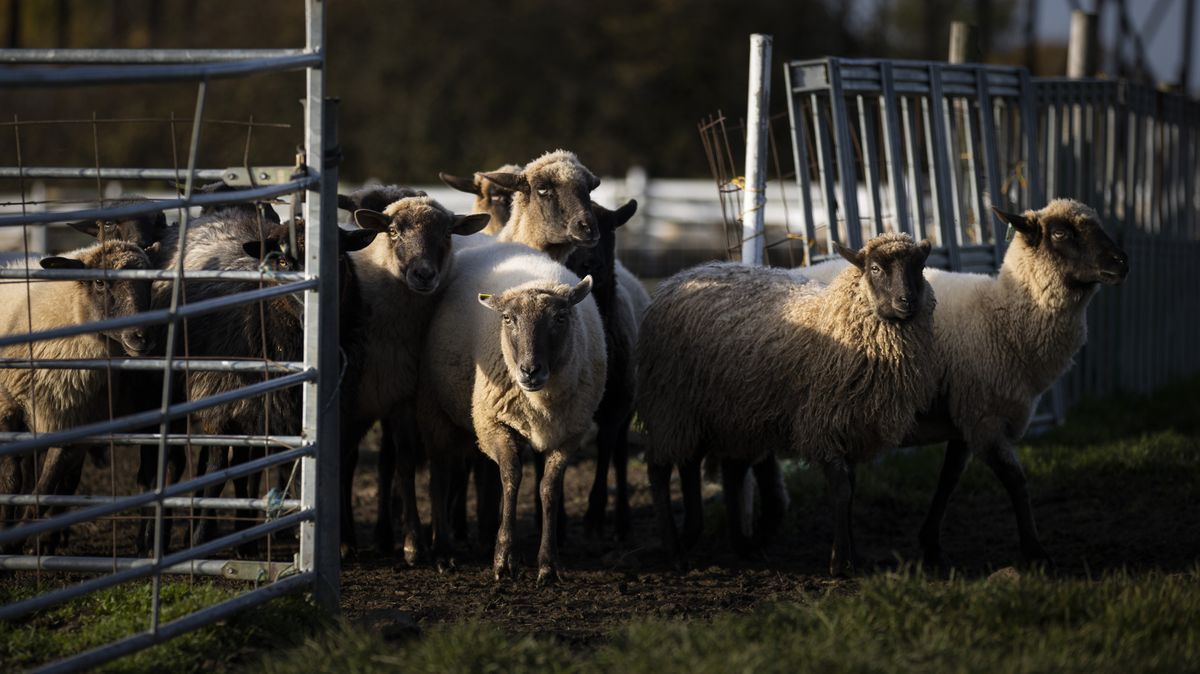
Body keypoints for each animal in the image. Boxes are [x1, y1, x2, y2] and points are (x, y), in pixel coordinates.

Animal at [0, 238, 154, 549]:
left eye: (150, 283)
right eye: (99, 282)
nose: (141, 337)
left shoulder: (70, 427)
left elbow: (45, 491)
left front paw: (16, 540)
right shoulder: (7, 407)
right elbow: (12, 479)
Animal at [338, 194, 487, 556]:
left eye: (447, 233)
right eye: (392, 230)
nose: (424, 274)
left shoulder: (403, 396)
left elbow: (403, 463)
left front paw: (412, 542)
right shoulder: (348, 399)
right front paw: (345, 540)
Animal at [417, 241, 604, 582]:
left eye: (560, 317)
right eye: (507, 319)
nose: (529, 371)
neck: (541, 400)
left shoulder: (570, 434)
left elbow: (548, 488)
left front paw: (548, 563)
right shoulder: (494, 423)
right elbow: (512, 477)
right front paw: (504, 559)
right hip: (432, 406)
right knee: (439, 478)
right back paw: (443, 553)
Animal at [638, 232, 936, 570]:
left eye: (920, 266)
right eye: (875, 268)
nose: (907, 301)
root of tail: (676, 279)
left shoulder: (853, 429)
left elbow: (851, 491)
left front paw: (851, 555)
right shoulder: (822, 427)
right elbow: (842, 491)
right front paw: (840, 563)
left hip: (718, 414)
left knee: (701, 465)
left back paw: (707, 538)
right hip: (669, 403)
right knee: (660, 469)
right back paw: (674, 550)